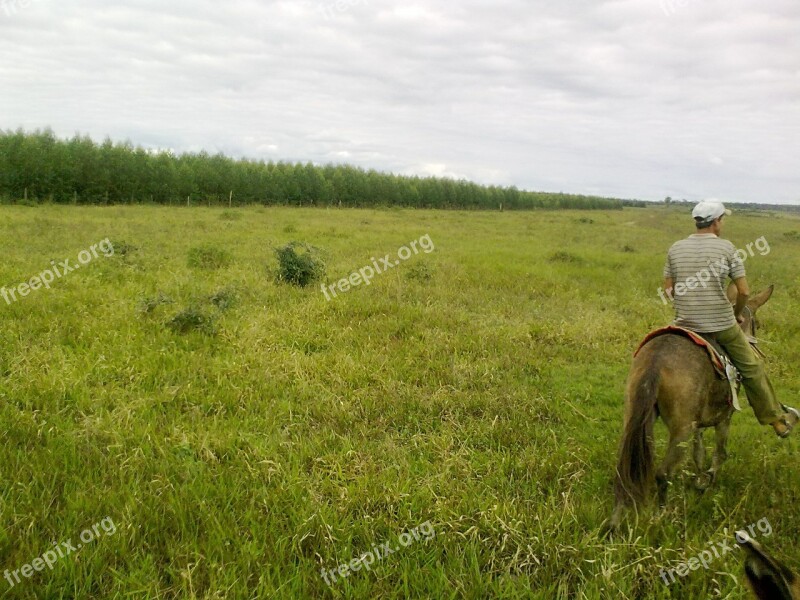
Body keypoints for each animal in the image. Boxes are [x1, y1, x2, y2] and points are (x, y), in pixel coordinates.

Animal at [608, 282, 776, 528]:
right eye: (758, 323)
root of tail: (657, 361)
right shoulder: (724, 418)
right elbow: (719, 453)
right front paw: (707, 482)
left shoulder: (697, 424)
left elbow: (699, 454)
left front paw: (700, 478)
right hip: (681, 429)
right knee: (662, 473)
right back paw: (661, 514)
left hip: (637, 419)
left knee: (627, 466)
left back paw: (616, 518)